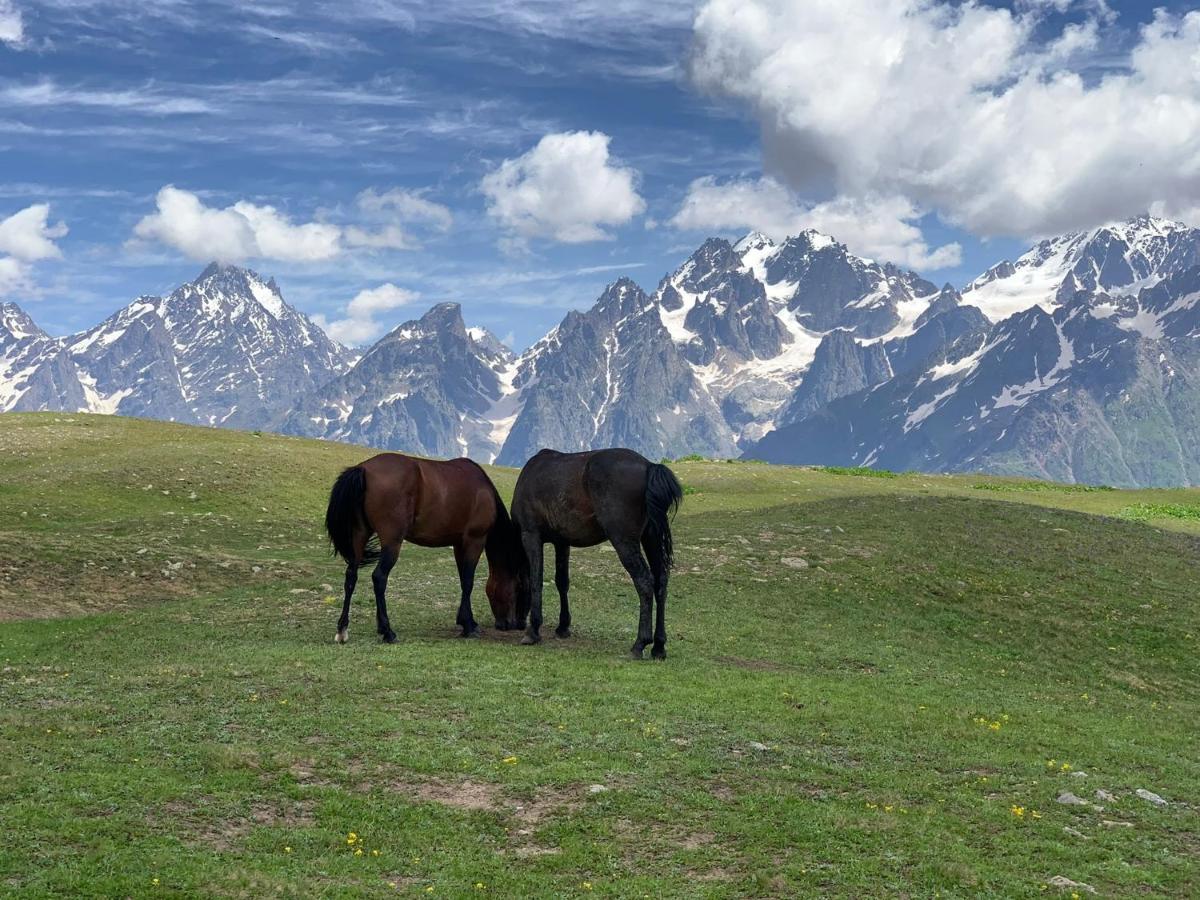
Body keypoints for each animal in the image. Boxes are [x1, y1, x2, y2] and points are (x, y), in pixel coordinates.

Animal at [324, 453, 525, 643]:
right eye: (517, 587)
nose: (510, 624)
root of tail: (364, 469)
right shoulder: (474, 540)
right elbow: (468, 582)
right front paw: (469, 626)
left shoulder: (458, 544)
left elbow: (463, 580)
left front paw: (465, 621)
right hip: (392, 542)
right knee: (379, 578)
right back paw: (387, 632)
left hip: (359, 536)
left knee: (351, 576)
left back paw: (342, 630)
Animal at [508, 451, 686, 662]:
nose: (514, 622)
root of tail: (649, 466)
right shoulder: (562, 542)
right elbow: (562, 582)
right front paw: (563, 626)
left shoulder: (530, 535)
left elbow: (535, 581)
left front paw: (533, 631)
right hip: (651, 537)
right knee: (660, 582)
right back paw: (659, 646)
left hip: (624, 541)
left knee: (644, 581)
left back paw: (639, 644)